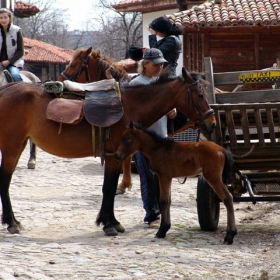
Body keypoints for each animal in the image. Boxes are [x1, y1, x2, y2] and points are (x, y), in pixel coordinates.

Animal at [0, 66, 215, 235]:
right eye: (200, 95)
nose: (212, 124)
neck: (131, 106)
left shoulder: (118, 156)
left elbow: (109, 188)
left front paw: (110, 221)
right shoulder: (114, 156)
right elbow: (109, 188)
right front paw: (109, 224)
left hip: (18, 145)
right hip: (12, 147)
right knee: (5, 181)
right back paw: (11, 222)